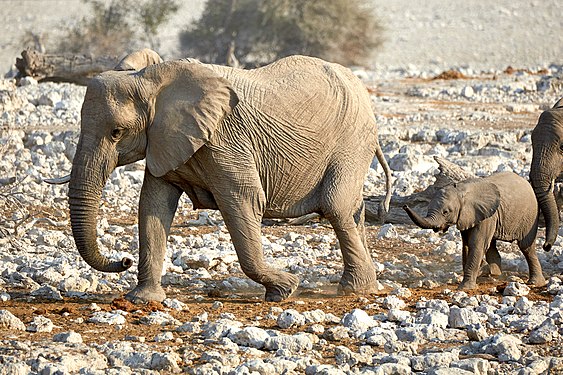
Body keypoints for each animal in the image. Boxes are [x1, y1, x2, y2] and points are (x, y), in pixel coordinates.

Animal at [58, 48, 392, 304]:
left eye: (117, 132)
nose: (124, 260)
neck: (150, 79)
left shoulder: (225, 141)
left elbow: (243, 201)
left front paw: (284, 289)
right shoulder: (164, 140)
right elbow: (153, 205)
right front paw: (142, 299)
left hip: (353, 141)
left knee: (336, 207)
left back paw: (355, 290)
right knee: (353, 210)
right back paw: (366, 284)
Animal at [406, 172, 548, 290]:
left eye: (446, 212)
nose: (405, 205)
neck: (461, 190)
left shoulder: (486, 215)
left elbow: (476, 244)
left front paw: (464, 288)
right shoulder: (469, 216)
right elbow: (466, 245)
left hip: (530, 216)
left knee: (526, 247)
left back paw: (535, 283)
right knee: (492, 245)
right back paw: (493, 274)